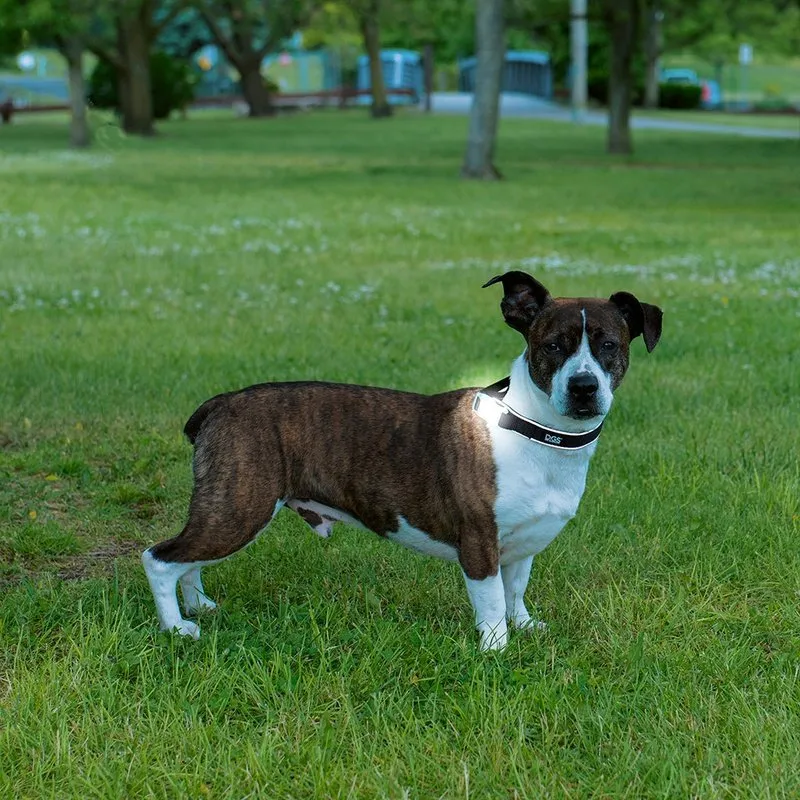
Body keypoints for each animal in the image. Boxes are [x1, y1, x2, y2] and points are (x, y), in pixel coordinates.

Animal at [144, 274, 664, 648]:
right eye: (552, 346)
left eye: (609, 345)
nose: (583, 387)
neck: (531, 428)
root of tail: (222, 403)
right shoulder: (480, 542)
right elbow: (492, 600)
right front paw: (496, 650)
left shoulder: (523, 542)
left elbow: (515, 590)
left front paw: (524, 626)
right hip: (240, 508)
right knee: (160, 559)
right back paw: (177, 628)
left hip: (226, 510)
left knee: (190, 560)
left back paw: (198, 606)